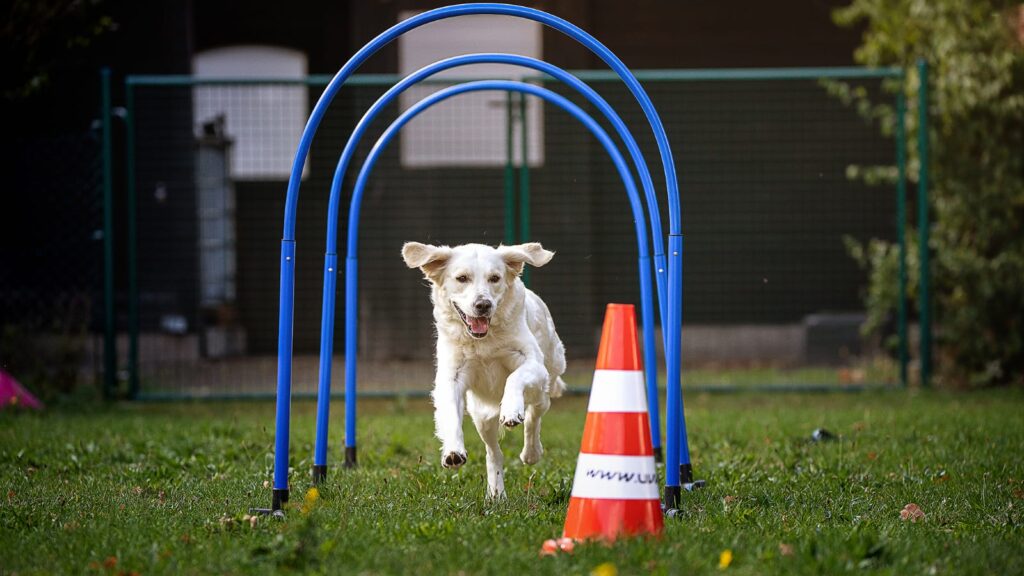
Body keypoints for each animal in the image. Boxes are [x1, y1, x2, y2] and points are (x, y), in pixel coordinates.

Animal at [401, 239, 569, 496]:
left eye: (495, 278)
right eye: (462, 278)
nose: (483, 304)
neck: (483, 341)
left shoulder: (533, 364)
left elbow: (514, 379)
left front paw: (511, 410)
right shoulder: (451, 377)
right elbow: (450, 413)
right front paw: (453, 451)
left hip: (545, 384)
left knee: (534, 417)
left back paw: (531, 453)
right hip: (481, 416)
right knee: (493, 452)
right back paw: (496, 494)